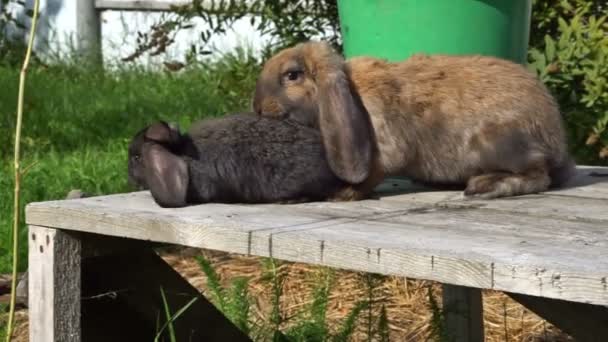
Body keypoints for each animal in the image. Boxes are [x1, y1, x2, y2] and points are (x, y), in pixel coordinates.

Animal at [252, 40, 576, 200]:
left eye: (292, 75)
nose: (256, 107)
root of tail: (557, 138)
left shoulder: (384, 151)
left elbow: (370, 176)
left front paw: (339, 193)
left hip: (498, 142)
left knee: (538, 176)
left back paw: (484, 187)